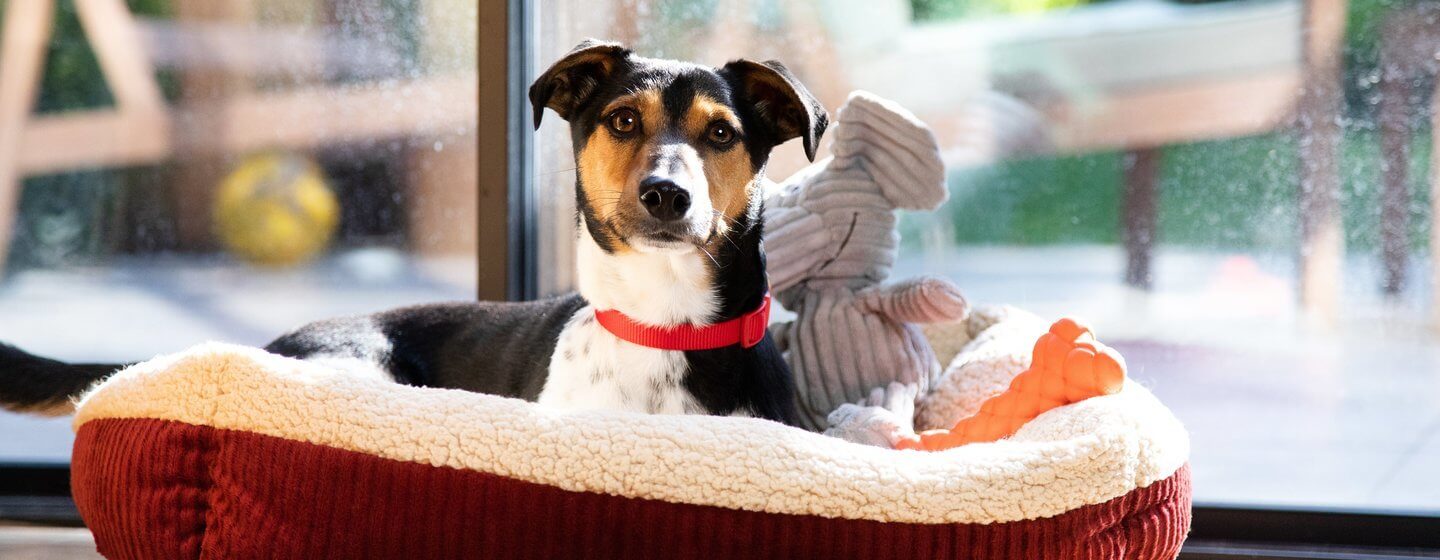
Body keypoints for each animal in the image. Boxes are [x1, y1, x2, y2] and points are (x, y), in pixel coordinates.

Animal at [0, 40, 829, 423]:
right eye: (624, 120)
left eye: (721, 134)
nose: (666, 195)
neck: (665, 325)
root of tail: (258, 346)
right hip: (365, 374)